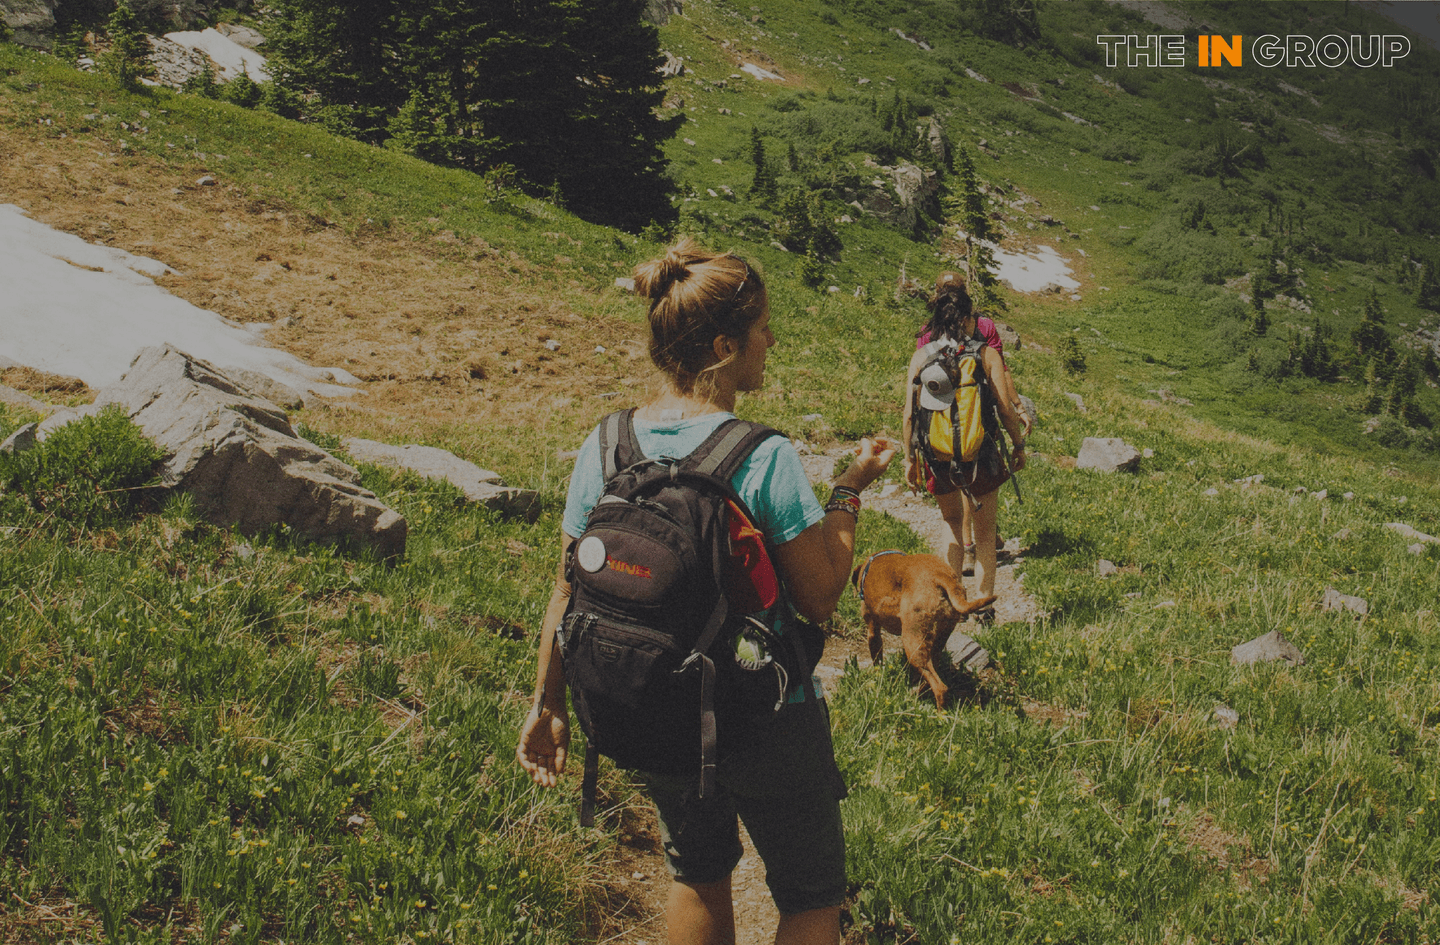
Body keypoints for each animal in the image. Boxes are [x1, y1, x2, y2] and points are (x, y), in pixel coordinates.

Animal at [851, 552, 996, 708]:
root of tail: (940, 574)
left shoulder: (873, 631)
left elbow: (877, 661)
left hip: (912, 644)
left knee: (940, 687)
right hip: (936, 641)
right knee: (932, 673)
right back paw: (916, 693)